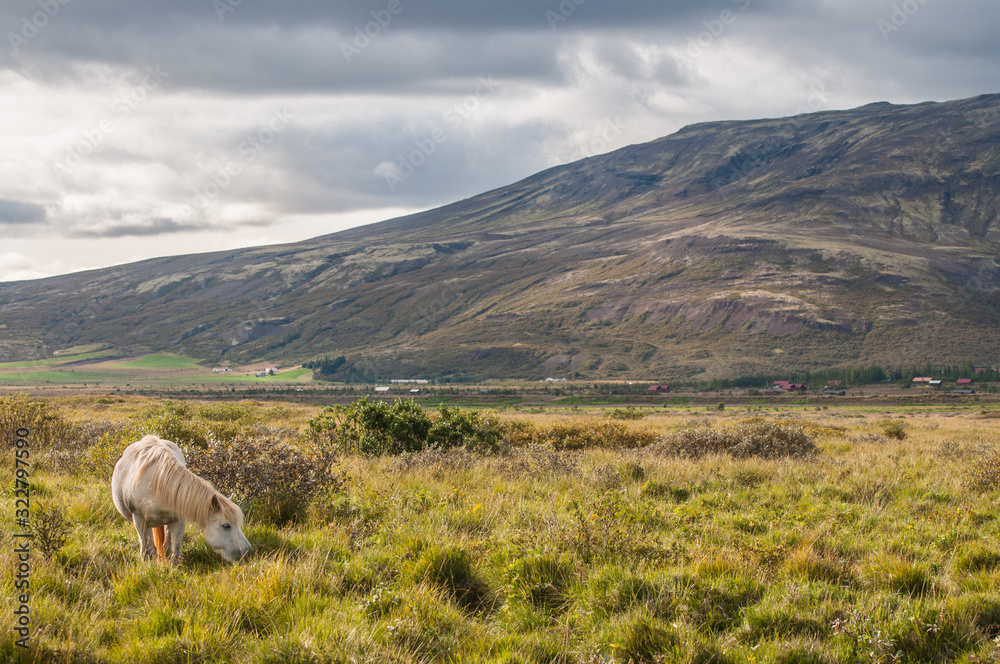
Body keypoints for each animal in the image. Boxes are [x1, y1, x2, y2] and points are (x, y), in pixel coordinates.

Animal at [111, 434, 252, 563]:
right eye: (226, 525)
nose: (247, 552)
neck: (157, 484)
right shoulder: (140, 520)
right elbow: (147, 551)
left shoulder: (178, 520)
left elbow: (175, 549)